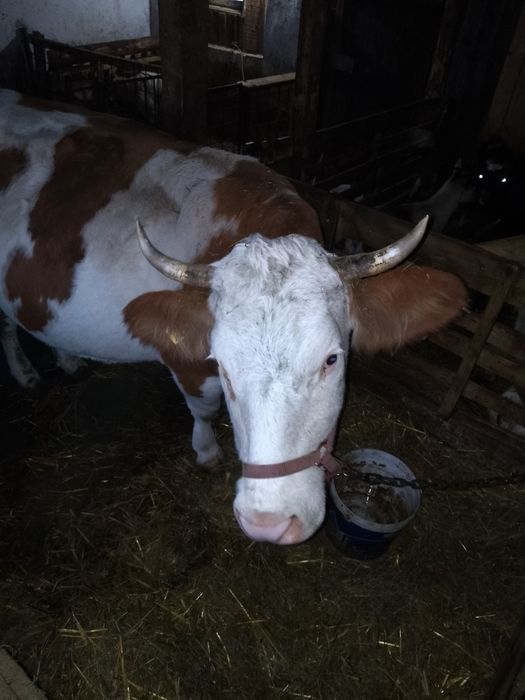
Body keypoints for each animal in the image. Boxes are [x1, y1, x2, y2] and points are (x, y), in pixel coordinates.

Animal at [0, 89, 467, 544]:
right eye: (222, 364)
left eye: (332, 360)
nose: (269, 523)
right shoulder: (186, 364)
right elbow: (204, 409)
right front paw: (207, 452)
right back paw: (27, 373)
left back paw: (65, 358)